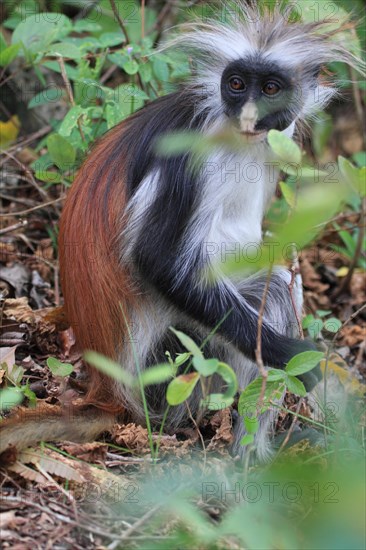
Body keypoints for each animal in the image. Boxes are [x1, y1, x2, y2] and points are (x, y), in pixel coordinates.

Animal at [0, 3, 360, 462]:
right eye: (237, 85)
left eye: (271, 88)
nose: (248, 114)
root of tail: (107, 392)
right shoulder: (189, 151)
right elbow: (157, 261)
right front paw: (290, 355)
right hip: (170, 367)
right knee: (275, 290)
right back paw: (250, 459)